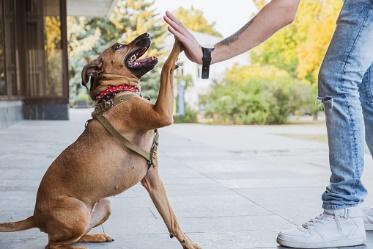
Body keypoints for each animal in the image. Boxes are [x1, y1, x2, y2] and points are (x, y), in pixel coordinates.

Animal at [0, 33, 201, 249]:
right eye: (118, 46)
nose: (146, 35)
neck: (116, 91)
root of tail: (36, 217)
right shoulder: (162, 114)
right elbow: (166, 66)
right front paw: (179, 41)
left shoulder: (153, 180)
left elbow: (172, 219)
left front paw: (188, 244)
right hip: (78, 212)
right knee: (53, 244)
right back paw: (79, 246)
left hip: (104, 205)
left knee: (72, 236)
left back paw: (97, 237)